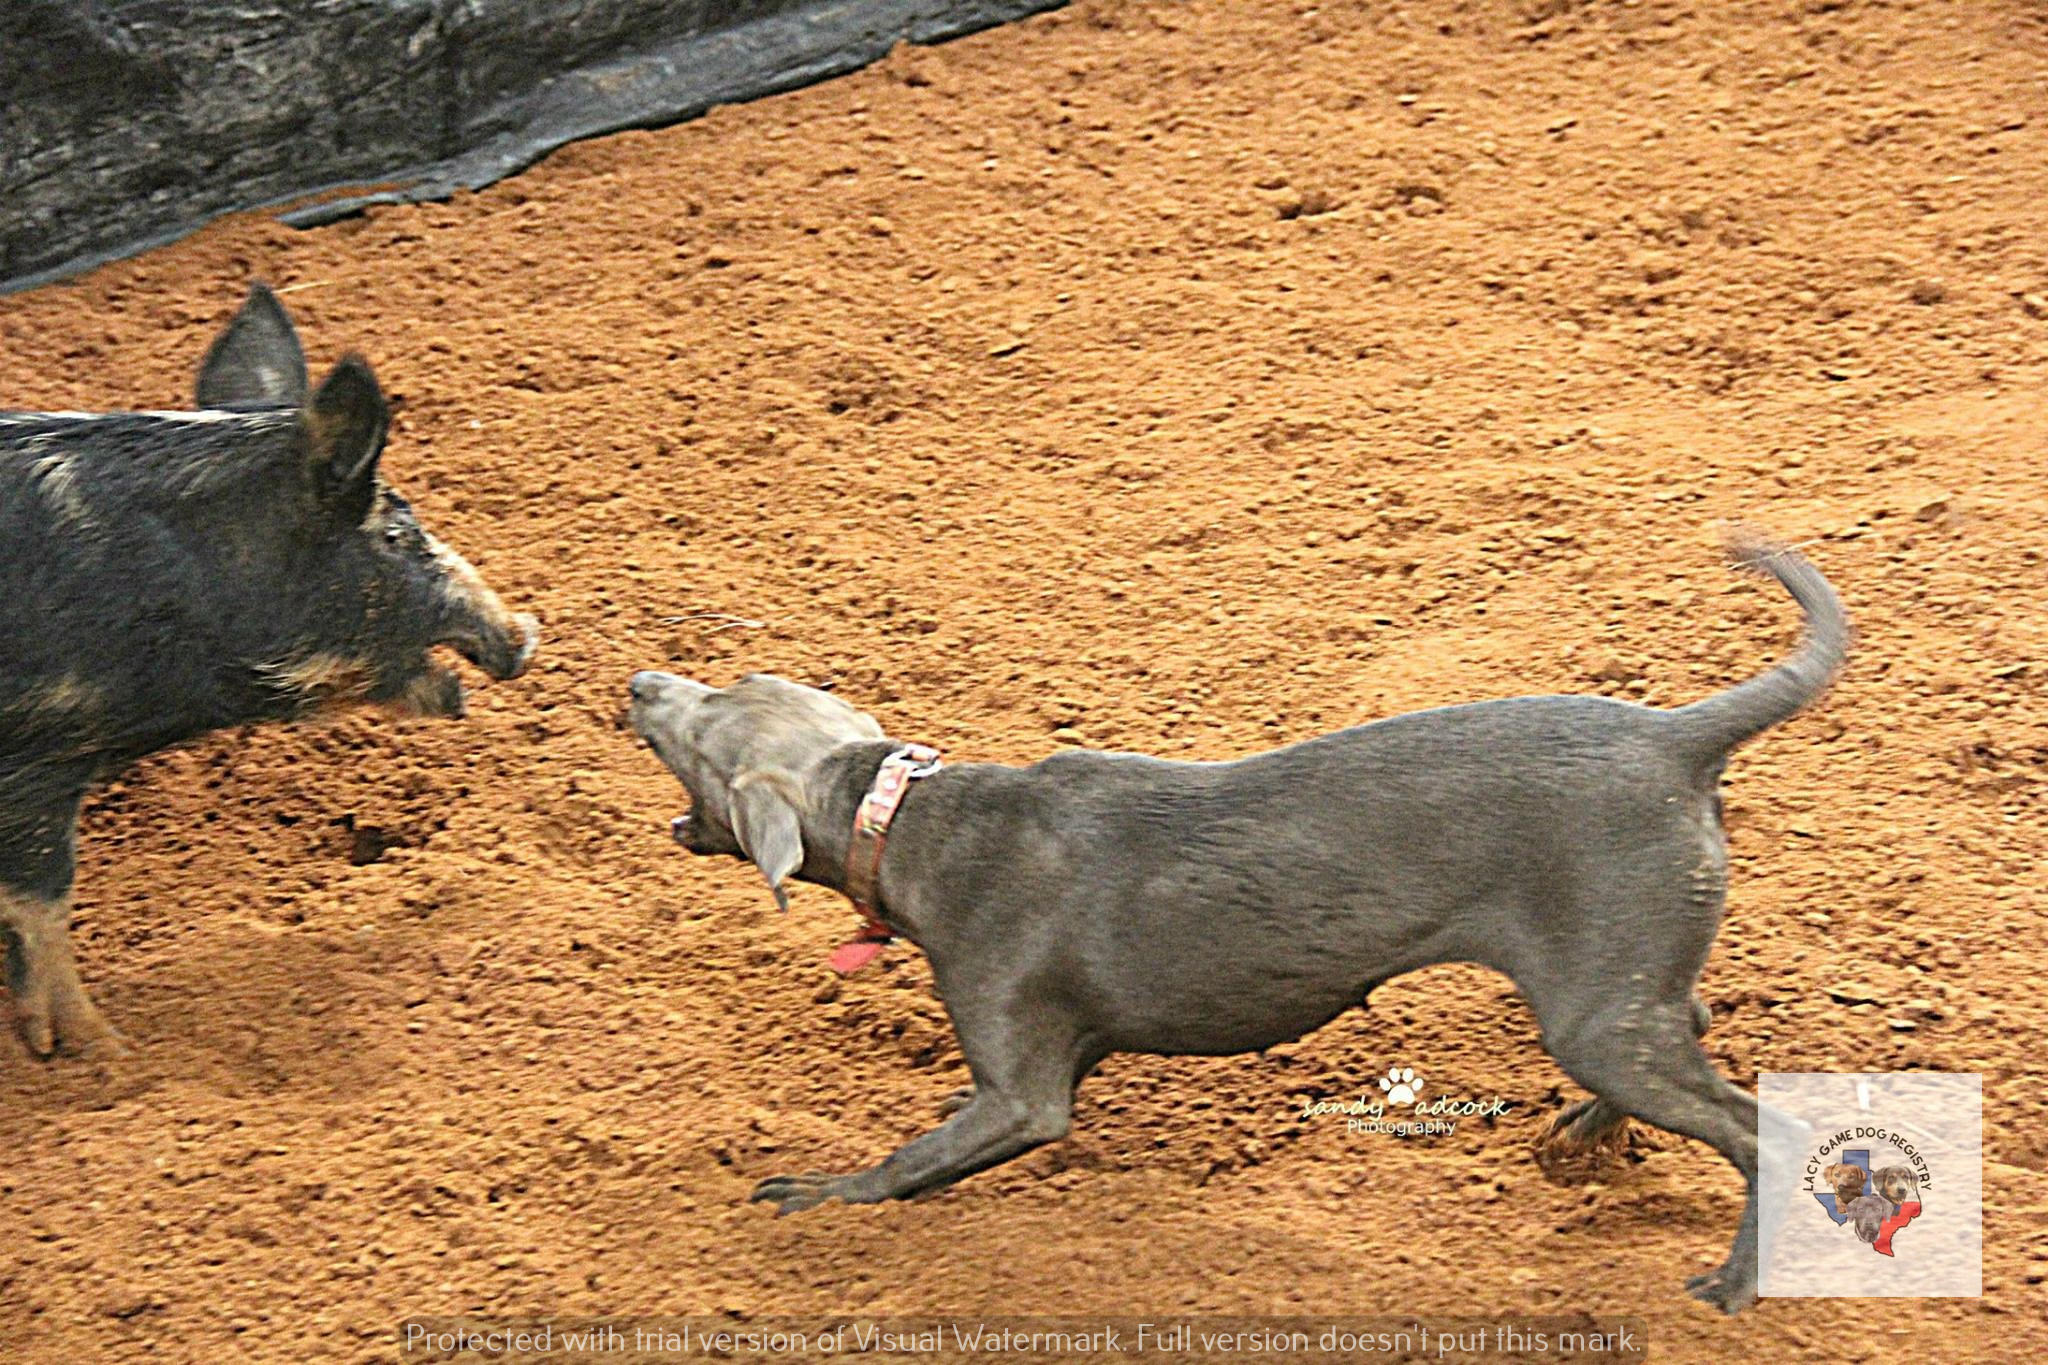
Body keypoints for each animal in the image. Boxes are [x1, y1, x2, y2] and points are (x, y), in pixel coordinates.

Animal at [630, 532, 1851, 1309]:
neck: (905, 815)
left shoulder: (1022, 1093)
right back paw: (1584, 1134)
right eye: (726, 680)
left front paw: (815, 1196)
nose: (641, 680)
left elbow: (910, 1158)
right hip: (1617, 978)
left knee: (1760, 1131)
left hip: (1600, 1009)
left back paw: (1730, 1291)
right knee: (1691, 1019)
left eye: (699, 731)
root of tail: (1674, 737)